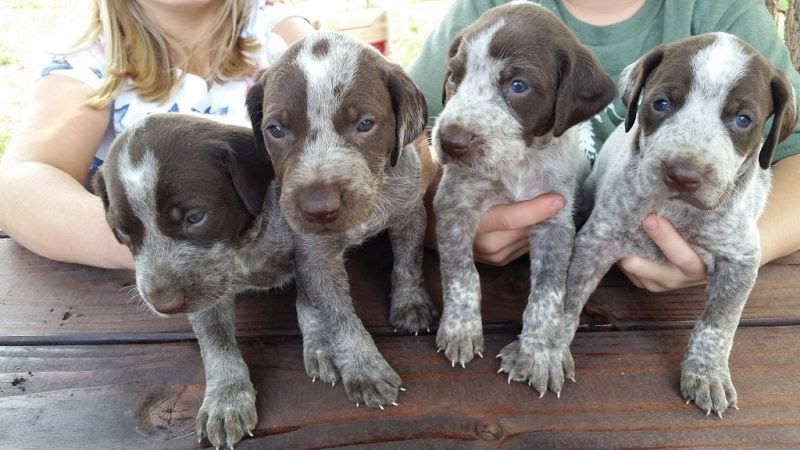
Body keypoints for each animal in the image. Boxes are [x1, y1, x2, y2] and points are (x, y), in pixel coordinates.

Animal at [94, 114, 294, 448]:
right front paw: (226, 398)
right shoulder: (206, 290)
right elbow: (215, 340)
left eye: (195, 217)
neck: (245, 247)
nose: (164, 305)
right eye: (121, 231)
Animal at [247, 31, 438, 410]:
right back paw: (319, 346)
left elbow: (408, 263)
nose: (318, 208)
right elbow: (337, 315)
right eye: (276, 129)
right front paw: (364, 368)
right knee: (306, 301)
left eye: (365, 124)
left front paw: (409, 303)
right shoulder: (315, 255)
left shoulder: (410, 212)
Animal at [432, 0, 612, 398]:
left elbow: (548, 295)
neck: (518, 161)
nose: (449, 140)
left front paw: (541, 353)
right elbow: (461, 274)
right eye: (454, 77)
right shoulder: (454, 205)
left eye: (518, 86)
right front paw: (460, 328)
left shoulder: (555, 223)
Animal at [560, 32, 796, 418]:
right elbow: (567, 295)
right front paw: (545, 349)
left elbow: (718, 323)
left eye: (743, 119)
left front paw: (707, 374)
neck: (677, 212)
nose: (684, 175)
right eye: (661, 103)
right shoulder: (598, 238)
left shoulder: (740, 260)